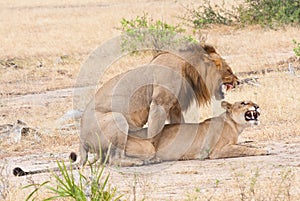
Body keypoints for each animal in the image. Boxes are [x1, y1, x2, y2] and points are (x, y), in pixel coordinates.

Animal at [80, 44, 239, 166]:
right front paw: (154, 155)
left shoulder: (175, 107)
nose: (238, 81)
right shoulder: (159, 105)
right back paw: (138, 162)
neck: (188, 68)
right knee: (113, 159)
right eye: (228, 70)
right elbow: (154, 134)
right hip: (117, 118)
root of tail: (82, 141)